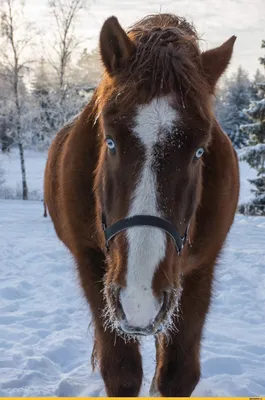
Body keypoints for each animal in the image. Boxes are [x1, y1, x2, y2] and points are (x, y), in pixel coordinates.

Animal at [43, 12, 239, 396]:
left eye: (199, 151)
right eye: (110, 141)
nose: (139, 297)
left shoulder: (199, 271)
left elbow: (177, 374)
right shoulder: (92, 264)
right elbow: (122, 372)